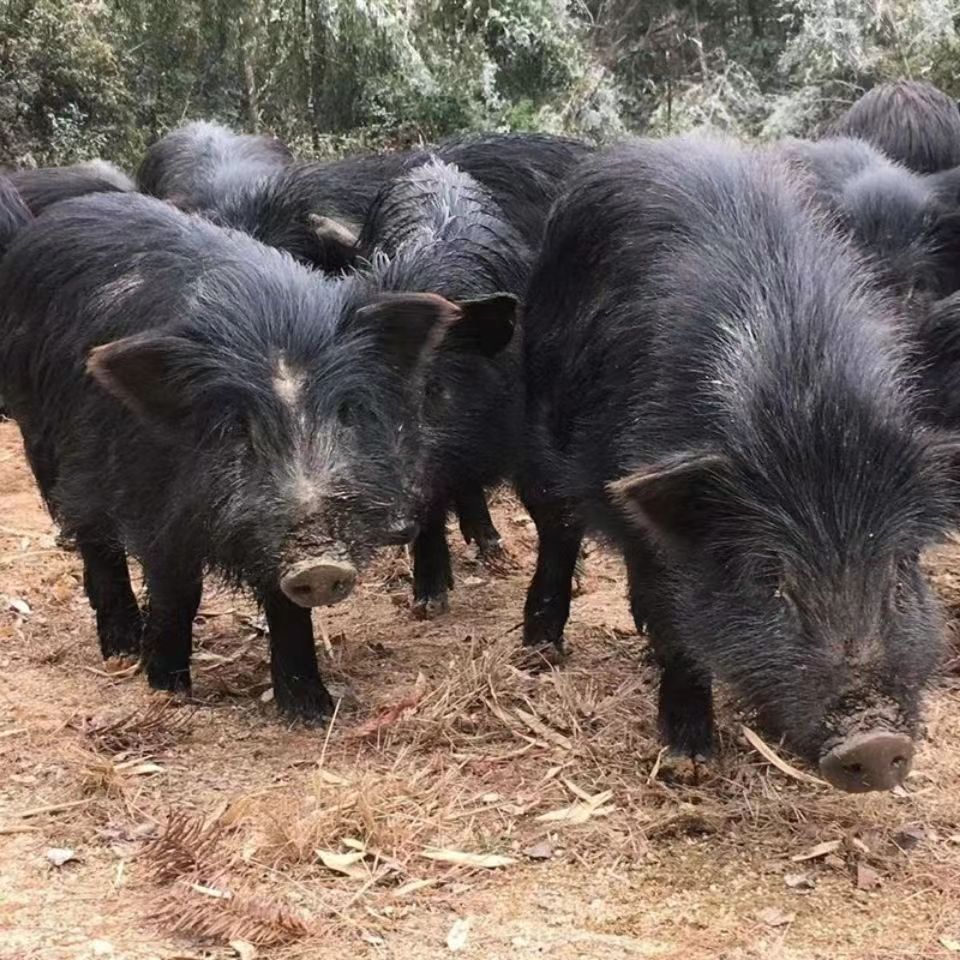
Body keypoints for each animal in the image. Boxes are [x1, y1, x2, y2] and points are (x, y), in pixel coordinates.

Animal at [520, 135, 956, 796]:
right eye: (767, 575)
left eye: (901, 566)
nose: (876, 742)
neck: (805, 406)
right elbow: (679, 621)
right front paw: (690, 762)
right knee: (559, 531)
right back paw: (540, 653)